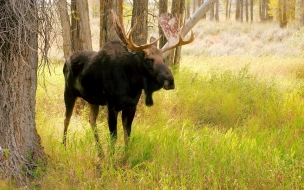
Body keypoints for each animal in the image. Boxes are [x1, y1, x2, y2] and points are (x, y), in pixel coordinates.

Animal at [62, 10, 194, 156]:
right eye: (149, 59)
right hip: (68, 92)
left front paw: (125, 157)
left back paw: (100, 153)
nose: (170, 81)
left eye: (163, 59)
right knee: (66, 119)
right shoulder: (112, 106)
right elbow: (114, 137)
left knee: (92, 121)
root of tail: (65, 61)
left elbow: (127, 136)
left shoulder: (131, 106)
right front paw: (112, 158)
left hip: (93, 100)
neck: (132, 84)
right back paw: (64, 147)